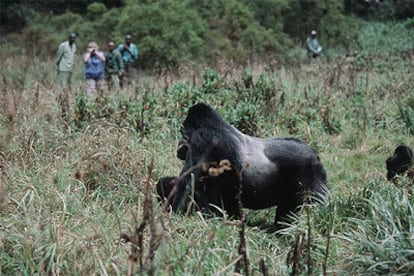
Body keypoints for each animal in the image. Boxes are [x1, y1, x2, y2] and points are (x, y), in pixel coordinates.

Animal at [163, 102, 328, 225]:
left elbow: (186, 184)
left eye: (182, 132)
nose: (179, 145)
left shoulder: (202, 139)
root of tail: (314, 153)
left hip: (308, 170)